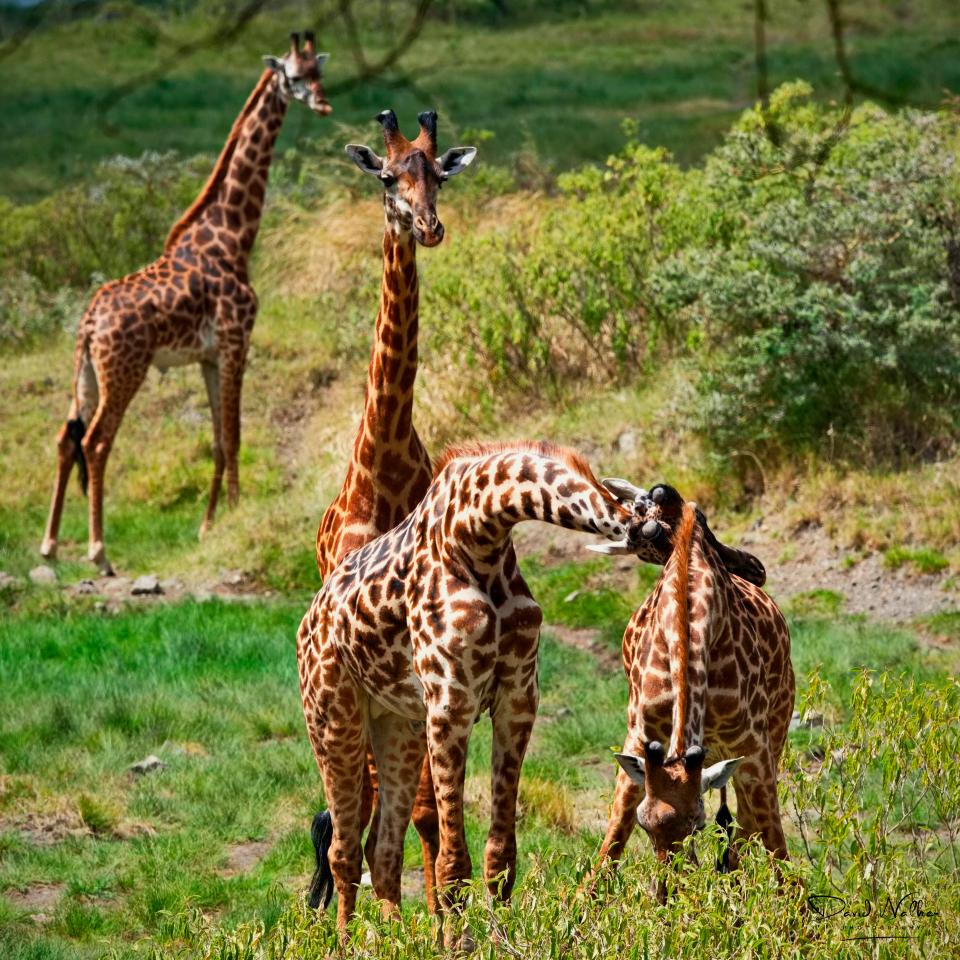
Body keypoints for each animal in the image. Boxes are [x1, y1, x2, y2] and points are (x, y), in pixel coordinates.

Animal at [39, 32, 331, 575]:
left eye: (319, 72)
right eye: (293, 75)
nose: (323, 103)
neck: (232, 236)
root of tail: (88, 323)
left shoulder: (208, 357)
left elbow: (217, 439)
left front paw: (209, 526)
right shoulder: (238, 340)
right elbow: (234, 434)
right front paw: (235, 517)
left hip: (85, 373)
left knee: (66, 439)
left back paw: (49, 545)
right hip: (124, 370)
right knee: (96, 440)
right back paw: (98, 551)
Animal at [298, 442, 674, 942]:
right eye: (661, 531)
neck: (481, 534)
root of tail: (309, 621)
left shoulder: (518, 699)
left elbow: (501, 855)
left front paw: (503, 939)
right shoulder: (450, 701)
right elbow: (453, 863)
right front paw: (458, 946)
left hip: (399, 726)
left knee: (382, 846)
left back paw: (397, 942)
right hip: (333, 718)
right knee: (342, 851)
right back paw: (348, 943)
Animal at [586, 481, 794, 902]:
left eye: (697, 824)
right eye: (645, 824)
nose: (755, 568)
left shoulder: (755, 749)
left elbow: (776, 847)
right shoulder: (639, 736)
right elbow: (611, 842)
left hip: (776, 731)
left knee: (746, 828)